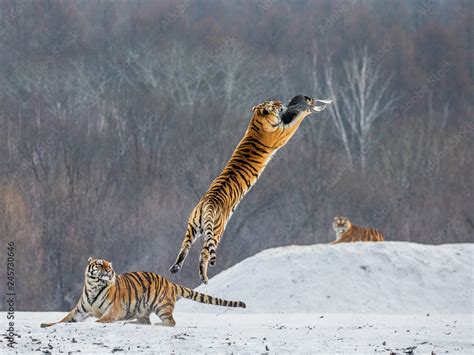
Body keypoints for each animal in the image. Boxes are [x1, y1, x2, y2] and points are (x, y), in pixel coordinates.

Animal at [40, 256, 246, 328]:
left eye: (108, 265)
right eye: (99, 264)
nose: (108, 270)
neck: (93, 287)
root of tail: (169, 282)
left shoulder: (112, 310)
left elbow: (103, 319)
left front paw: (99, 322)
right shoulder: (79, 312)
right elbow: (63, 320)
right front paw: (46, 324)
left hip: (161, 307)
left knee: (170, 322)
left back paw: (159, 325)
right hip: (142, 308)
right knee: (145, 319)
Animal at [168, 94, 332, 284]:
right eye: (274, 104)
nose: (281, 103)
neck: (257, 120)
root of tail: (206, 204)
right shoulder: (282, 135)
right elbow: (295, 123)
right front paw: (305, 109)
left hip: (192, 227)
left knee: (184, 247)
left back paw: (175, 268)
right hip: (216, 231)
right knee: (204, 254)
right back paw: (204, 277)